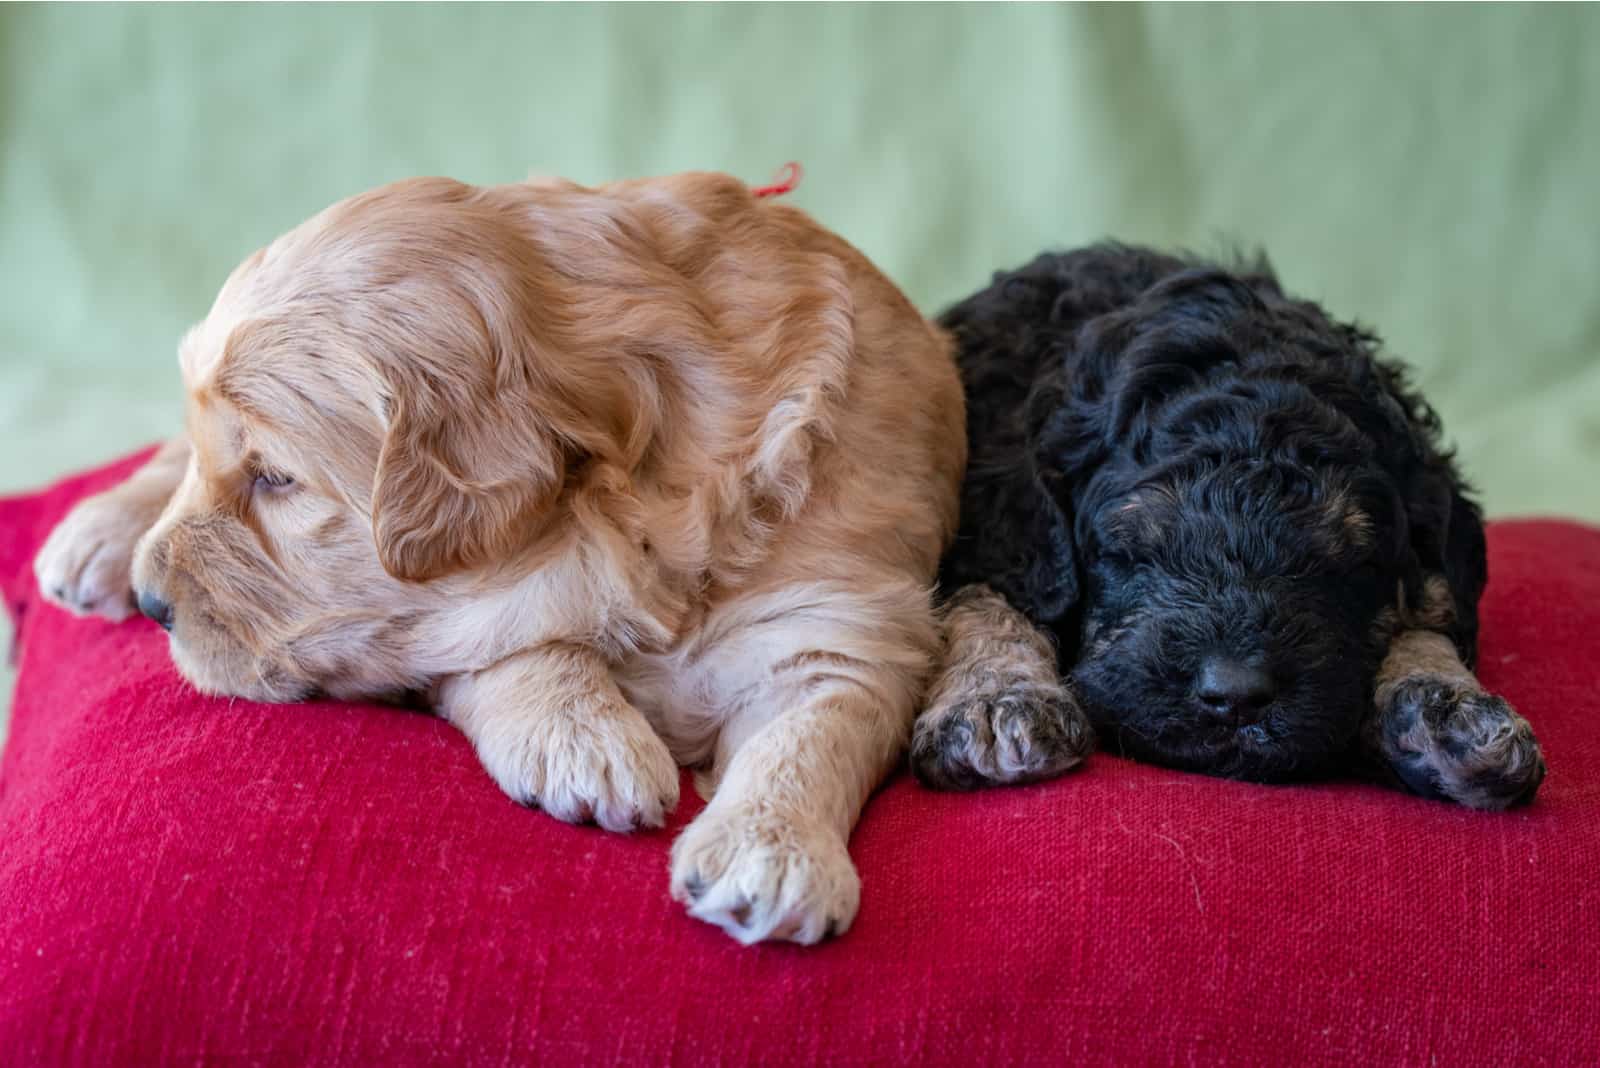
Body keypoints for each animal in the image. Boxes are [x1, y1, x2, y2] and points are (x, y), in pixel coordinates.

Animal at [921, 244, 1542, 808]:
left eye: (1349, 566)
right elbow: (988, 595)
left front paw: (1447, 705)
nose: (1236, 696)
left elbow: (1431, 606)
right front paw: (997, 697)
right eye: (1128, 553)